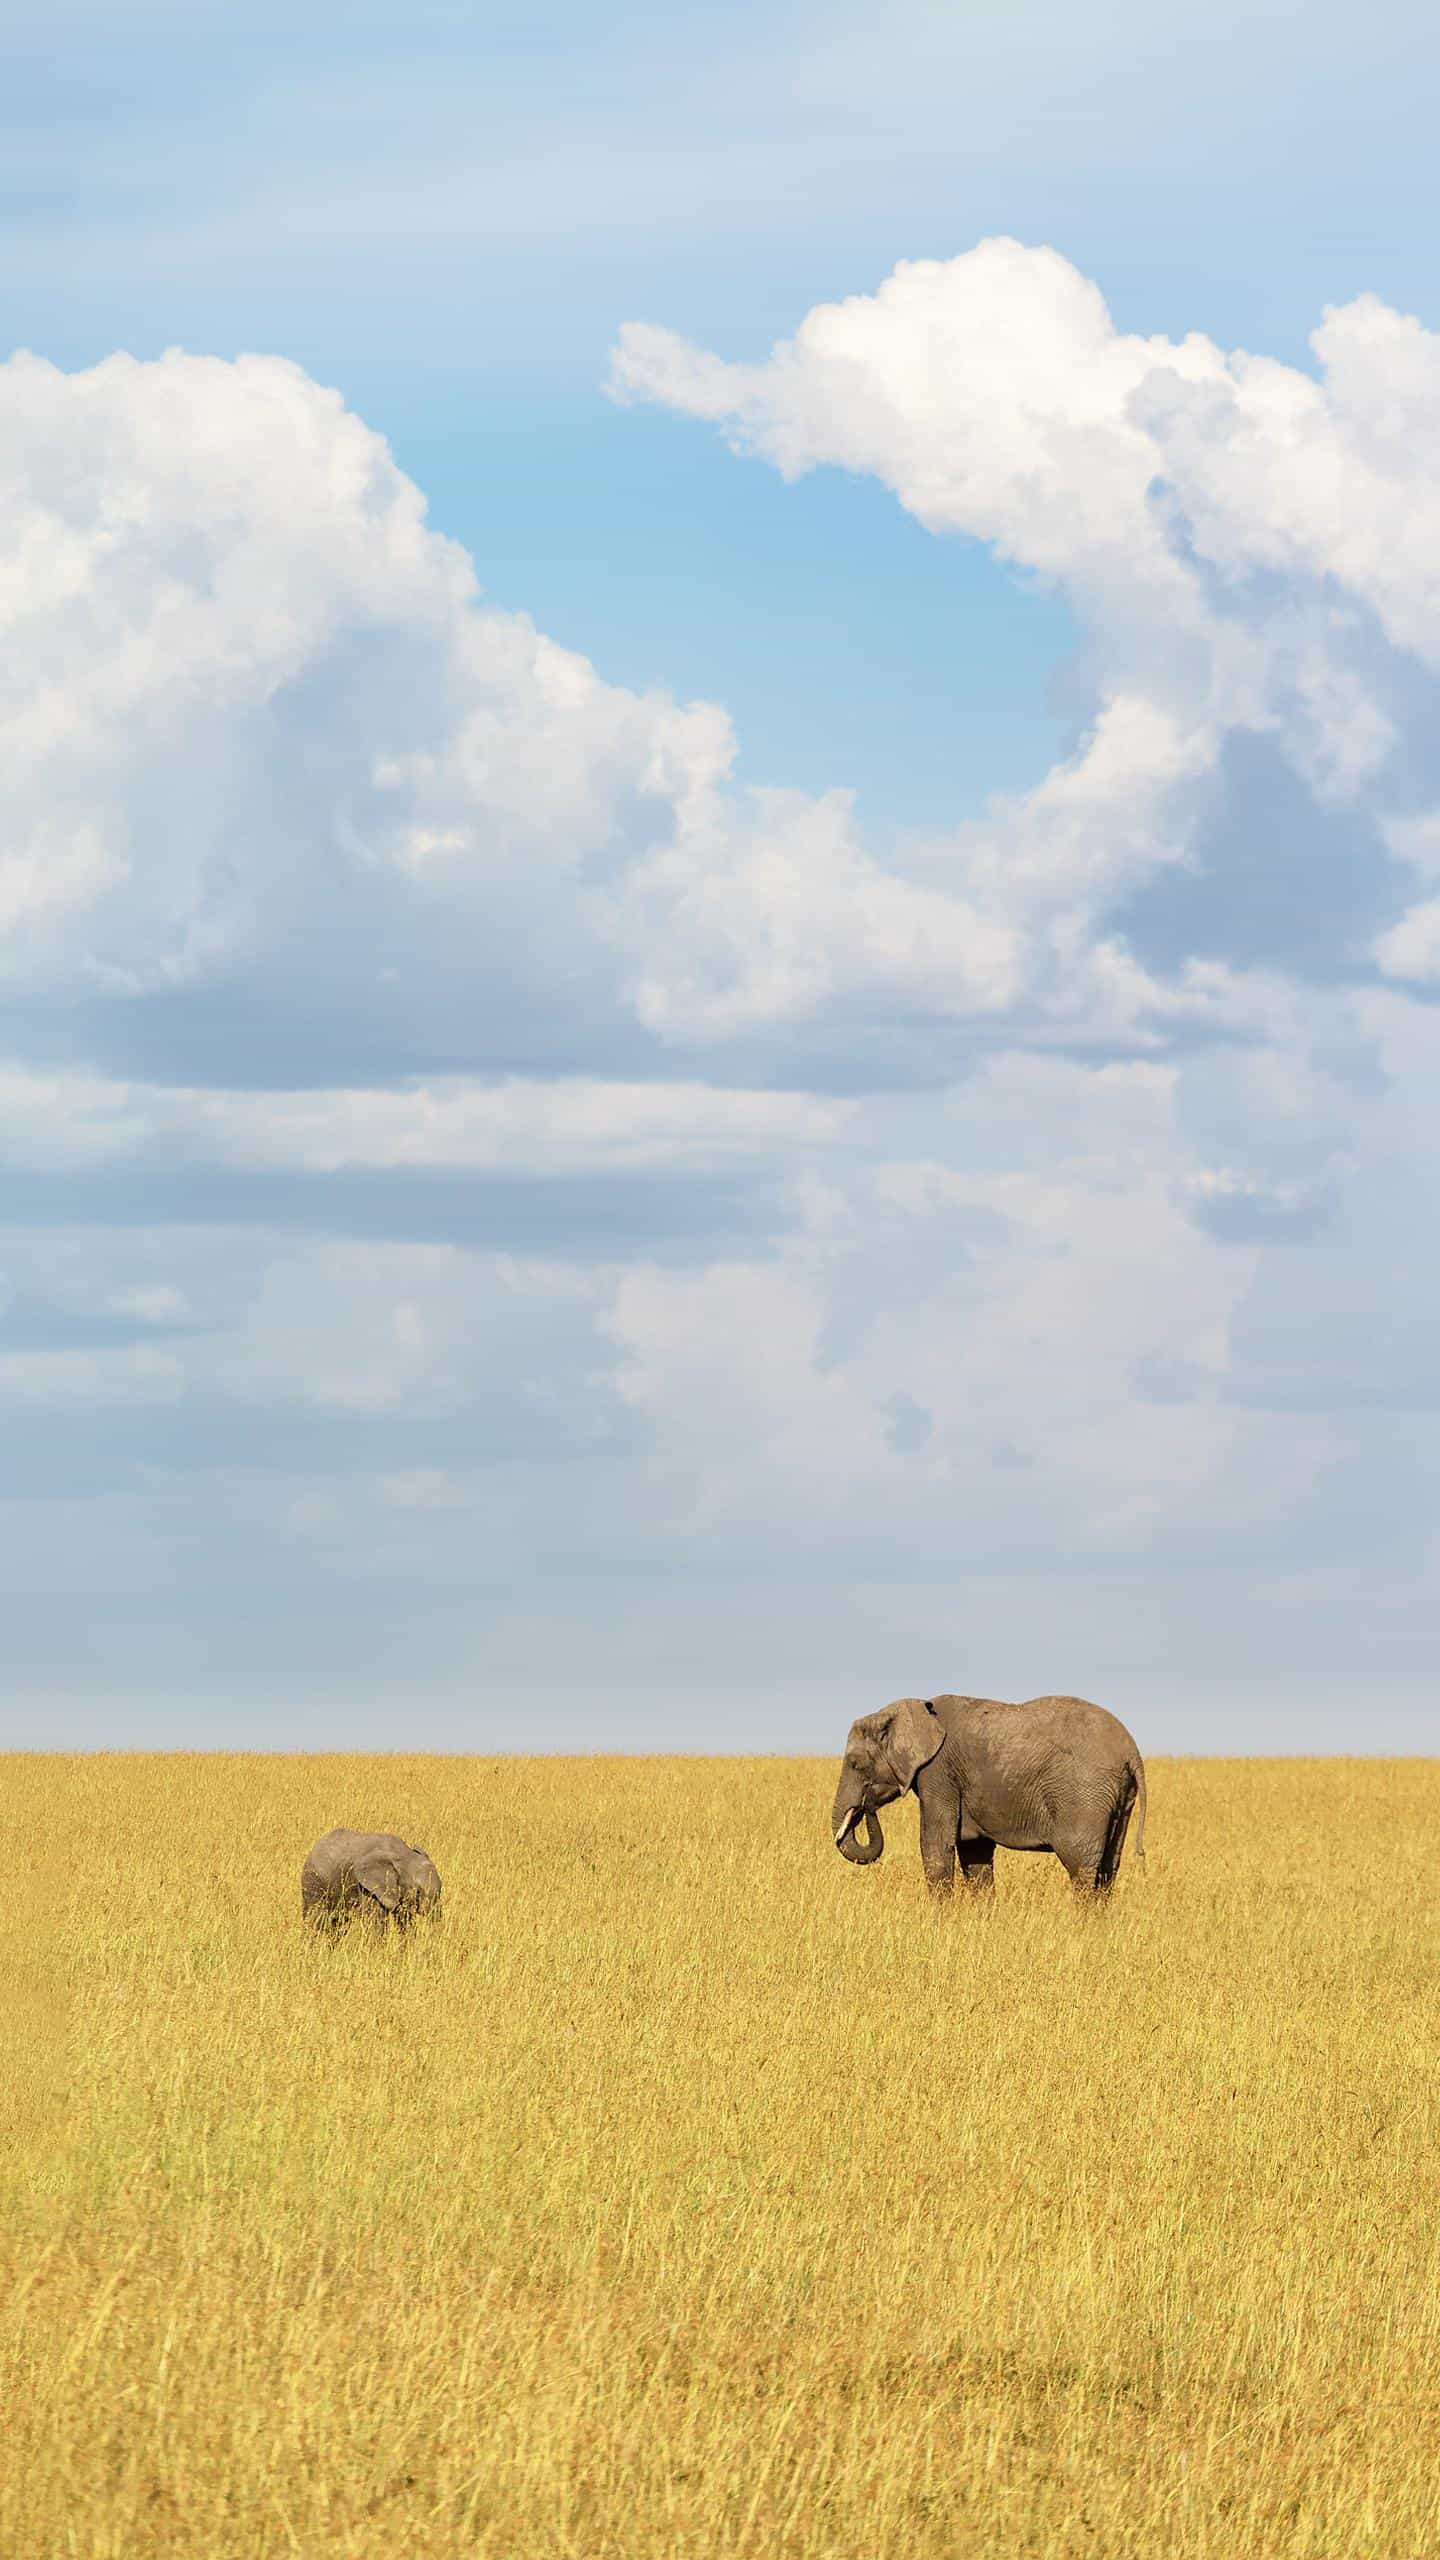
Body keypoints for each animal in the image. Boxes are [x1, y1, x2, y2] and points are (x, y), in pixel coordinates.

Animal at [299, 1832, 440, 1925]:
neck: (403, 1854)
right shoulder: (368, 1889)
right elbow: (376, 1923)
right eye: (418, 1891)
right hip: (313, 1882)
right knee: (316, 1919)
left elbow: (405, 1921)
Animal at [830, 1699, 1142, 1904]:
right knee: (1108, 1866)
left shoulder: (938, 1772)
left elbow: (936, 1843)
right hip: (1121, 1799)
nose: (866, 1805)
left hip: (1084, 1795)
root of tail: (1132, 1752)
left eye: (856, 1764)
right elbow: (974, 1852)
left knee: (1081, 1865)